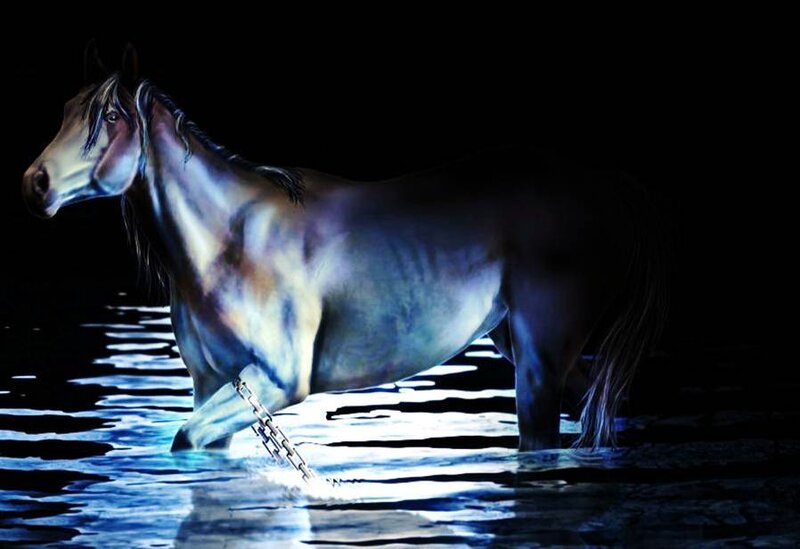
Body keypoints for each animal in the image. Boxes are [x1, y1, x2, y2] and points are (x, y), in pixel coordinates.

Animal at [22, 65, 666, 453]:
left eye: (109, 118)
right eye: (66, 108)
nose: (36, 182)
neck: (227, 241)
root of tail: (606, 184)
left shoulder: (278, 382)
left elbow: (185, 439)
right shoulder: (213, 386)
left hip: (538, 360)